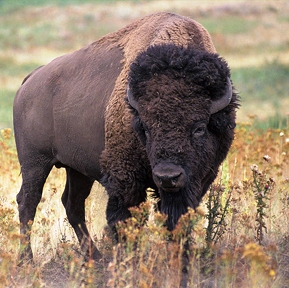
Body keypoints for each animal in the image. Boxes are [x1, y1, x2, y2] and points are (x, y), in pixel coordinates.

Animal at [13, 12, 237, 262]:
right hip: (35, 163)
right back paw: (27, 260)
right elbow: (126, 220)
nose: (167, 176)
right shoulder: (125, 179)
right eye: (146, 128)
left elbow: (177, 219)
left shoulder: (198, 180)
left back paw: (95, 258)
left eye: (199, 127)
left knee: (72, 204)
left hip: (77, 169)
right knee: (28, 201)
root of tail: (30, 80)